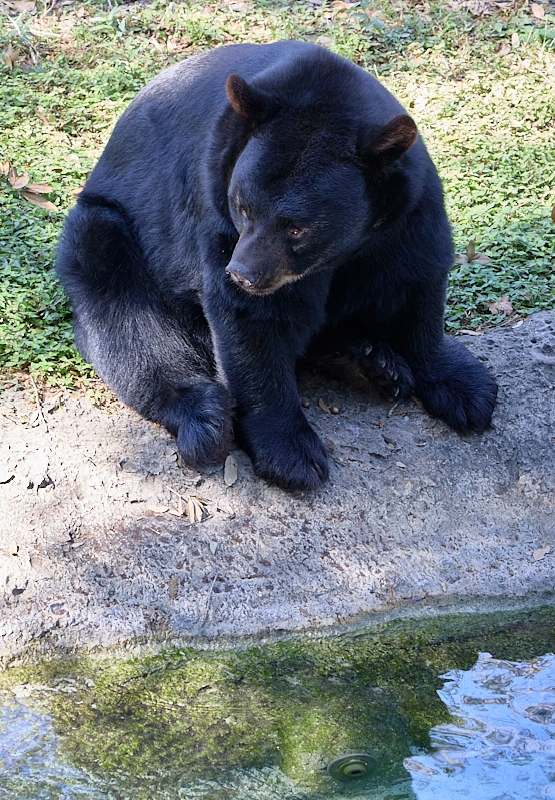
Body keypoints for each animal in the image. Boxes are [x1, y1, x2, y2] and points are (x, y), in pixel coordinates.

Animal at [56, 40, 498, 492]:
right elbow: (252, 324)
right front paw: (293, 454)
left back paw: (373, 364)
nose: (242, 274)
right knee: (127, 319)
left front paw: (465, 388)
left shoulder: (408, 213)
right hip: (108, 232)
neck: (346, 251)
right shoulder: (215, 209)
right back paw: (205, 416)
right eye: (243, 206)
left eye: (298, 228)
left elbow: (415, 285)